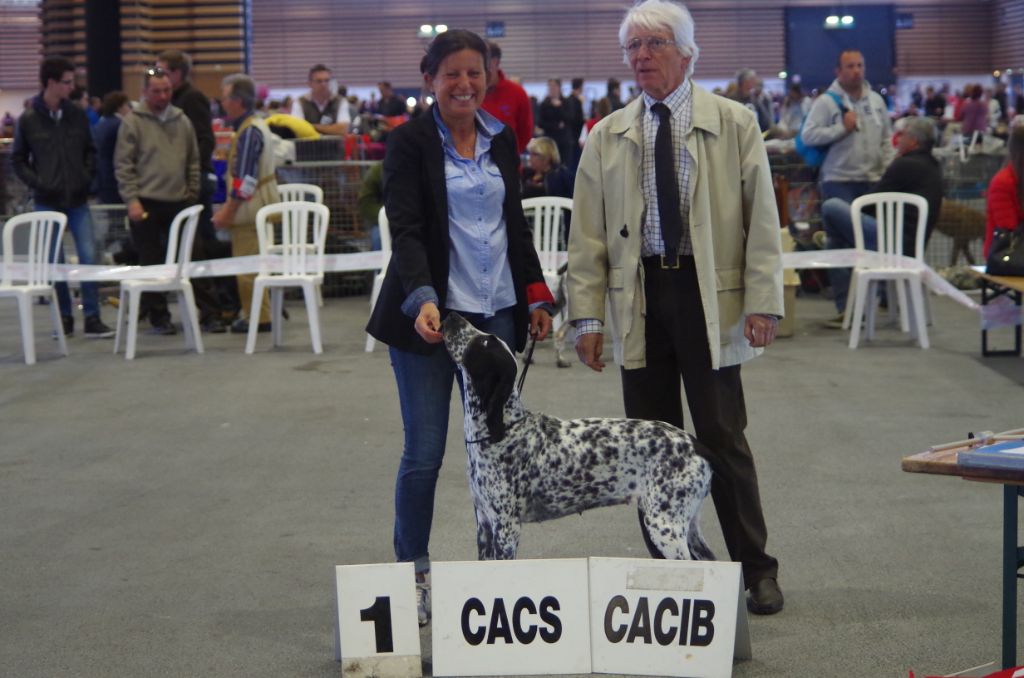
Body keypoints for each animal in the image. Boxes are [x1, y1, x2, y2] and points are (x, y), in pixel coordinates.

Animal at [440, 313, 712, 561]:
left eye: (485, 342)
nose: (452, 315)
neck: (504, 430)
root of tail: (696, 444)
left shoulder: (506, 528)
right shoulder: (484, 525)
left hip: (665, 527)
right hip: (687, 527)